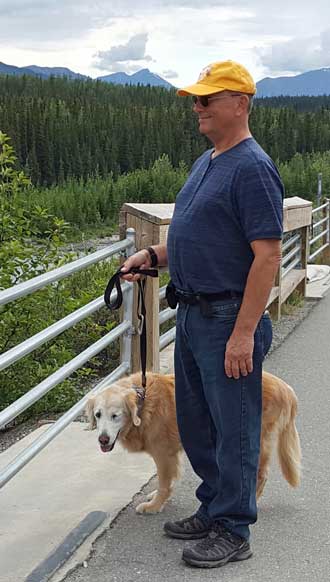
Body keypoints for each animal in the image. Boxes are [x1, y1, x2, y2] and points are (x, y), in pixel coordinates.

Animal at [85, 374, 302, 516]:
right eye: (98, 415)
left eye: (115, 415)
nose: (103, 439)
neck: (143, 404)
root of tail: (287, 389)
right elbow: (166, 480)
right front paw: (156, 496)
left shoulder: (163, 453)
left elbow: (164, 482)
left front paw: (155, 505)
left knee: (260, 475)